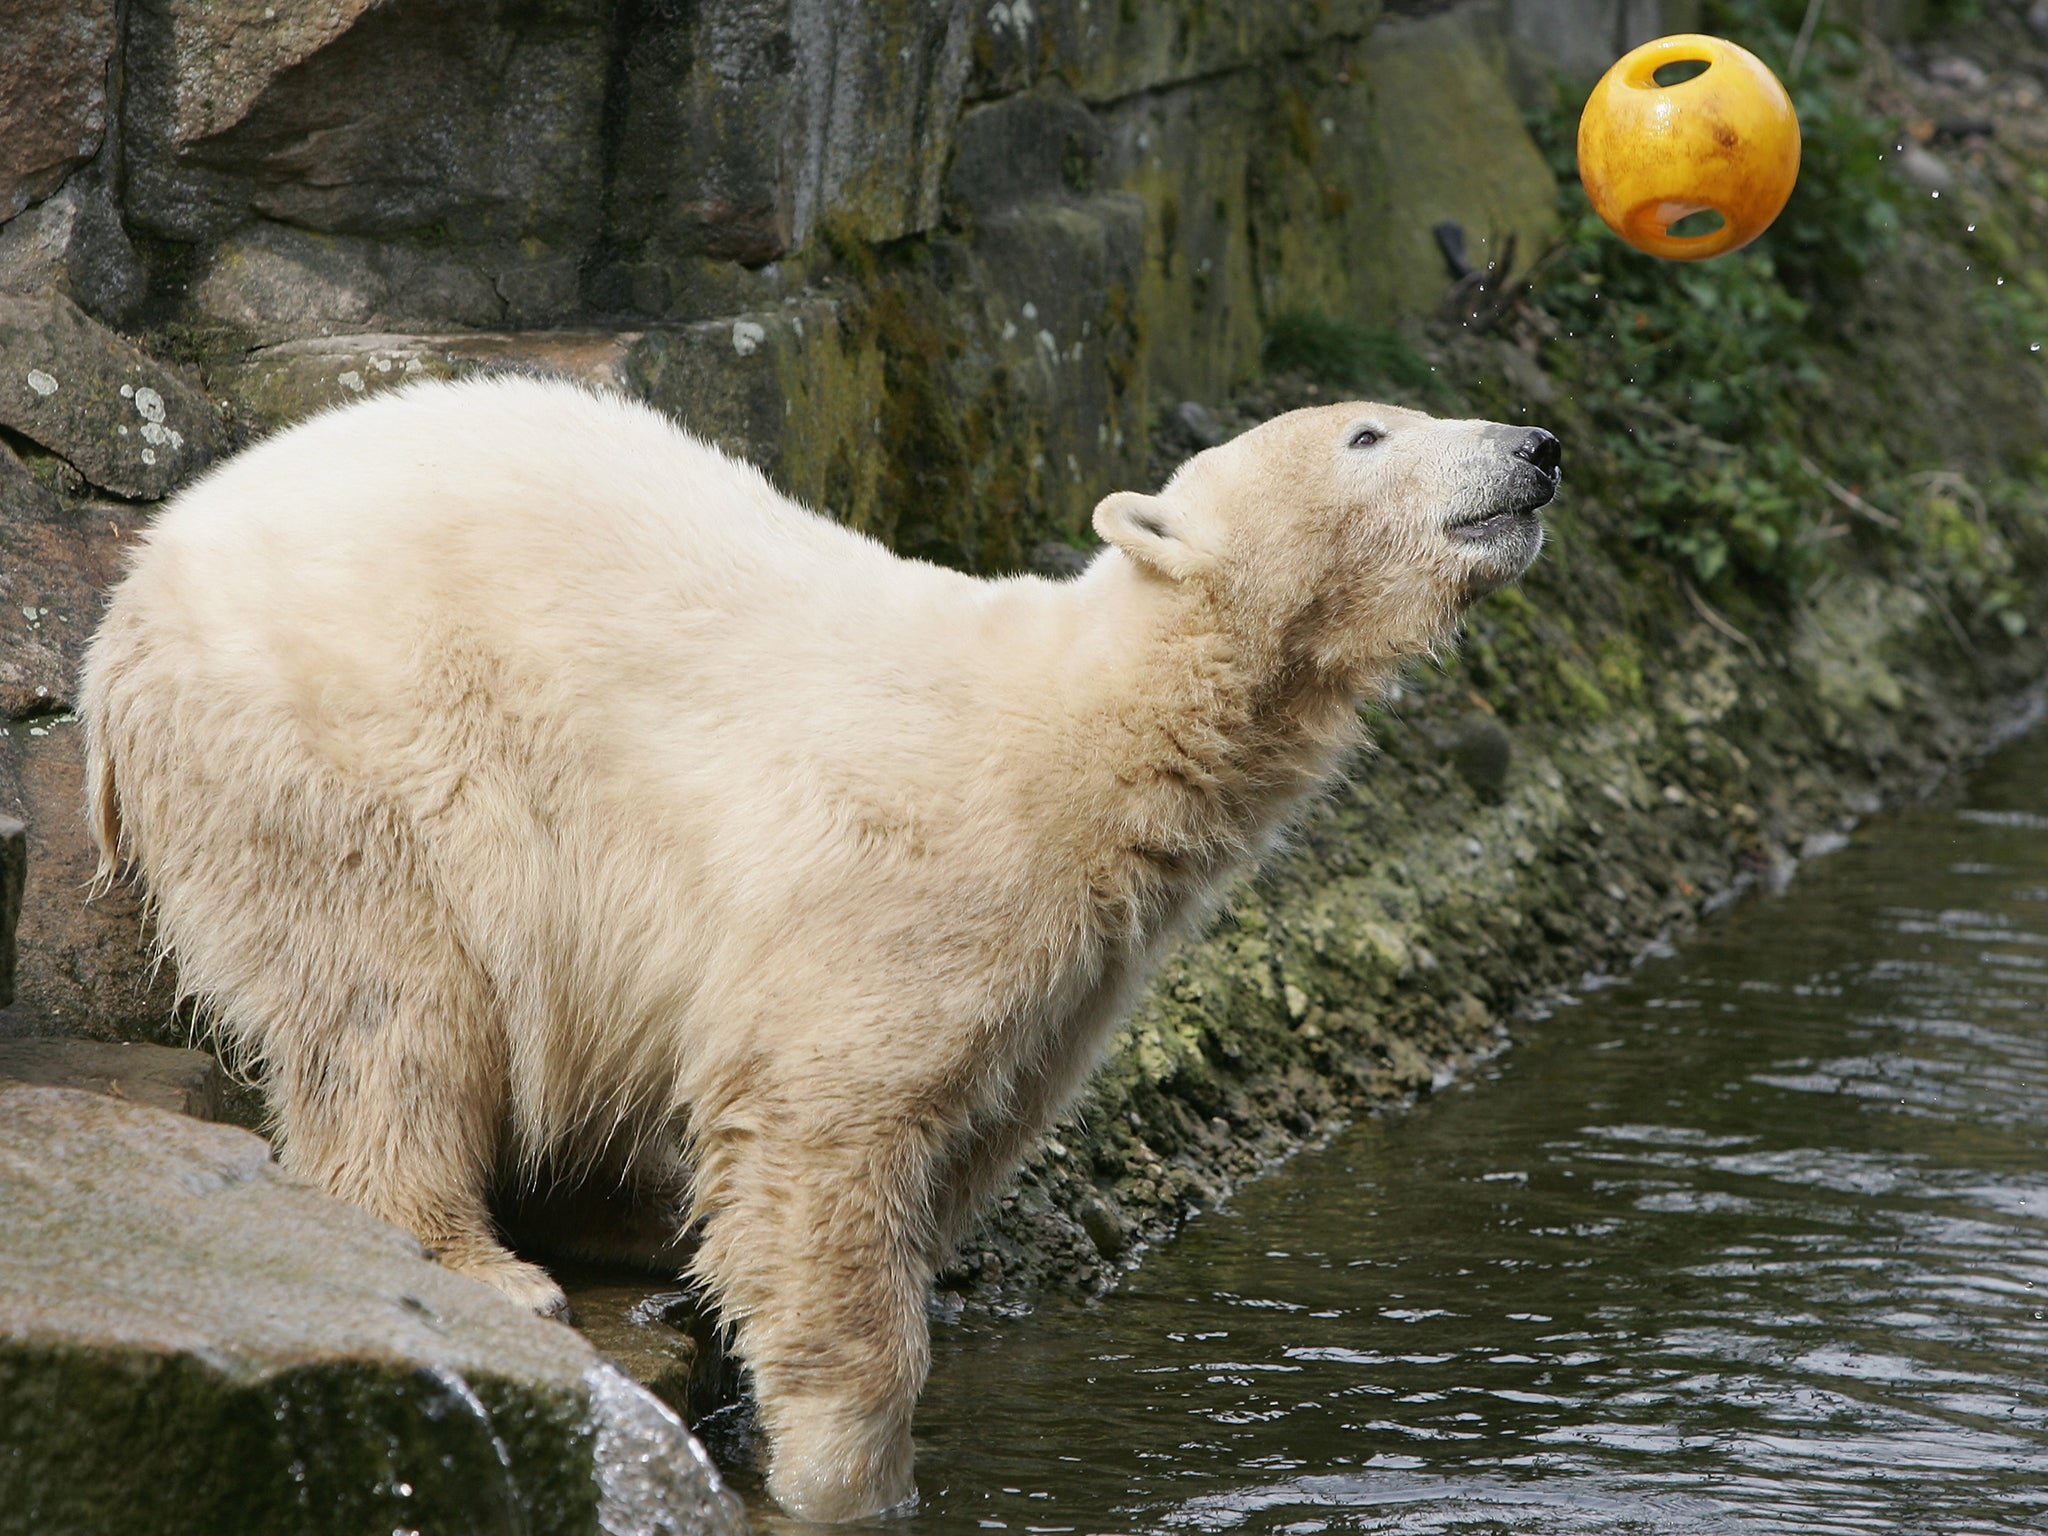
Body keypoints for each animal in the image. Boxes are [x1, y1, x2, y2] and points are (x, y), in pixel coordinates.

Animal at [75, 378, 1548, 1523]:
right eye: (1368, 432)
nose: (1537, 444)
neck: (1085, 732)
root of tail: (127, 611)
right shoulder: (909, 884)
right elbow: (828, 1142)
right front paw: (848, 1475)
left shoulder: (1071, 977)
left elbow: (960, 1136)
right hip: (346, 754)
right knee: (393, 1005)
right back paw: (475, 1258)